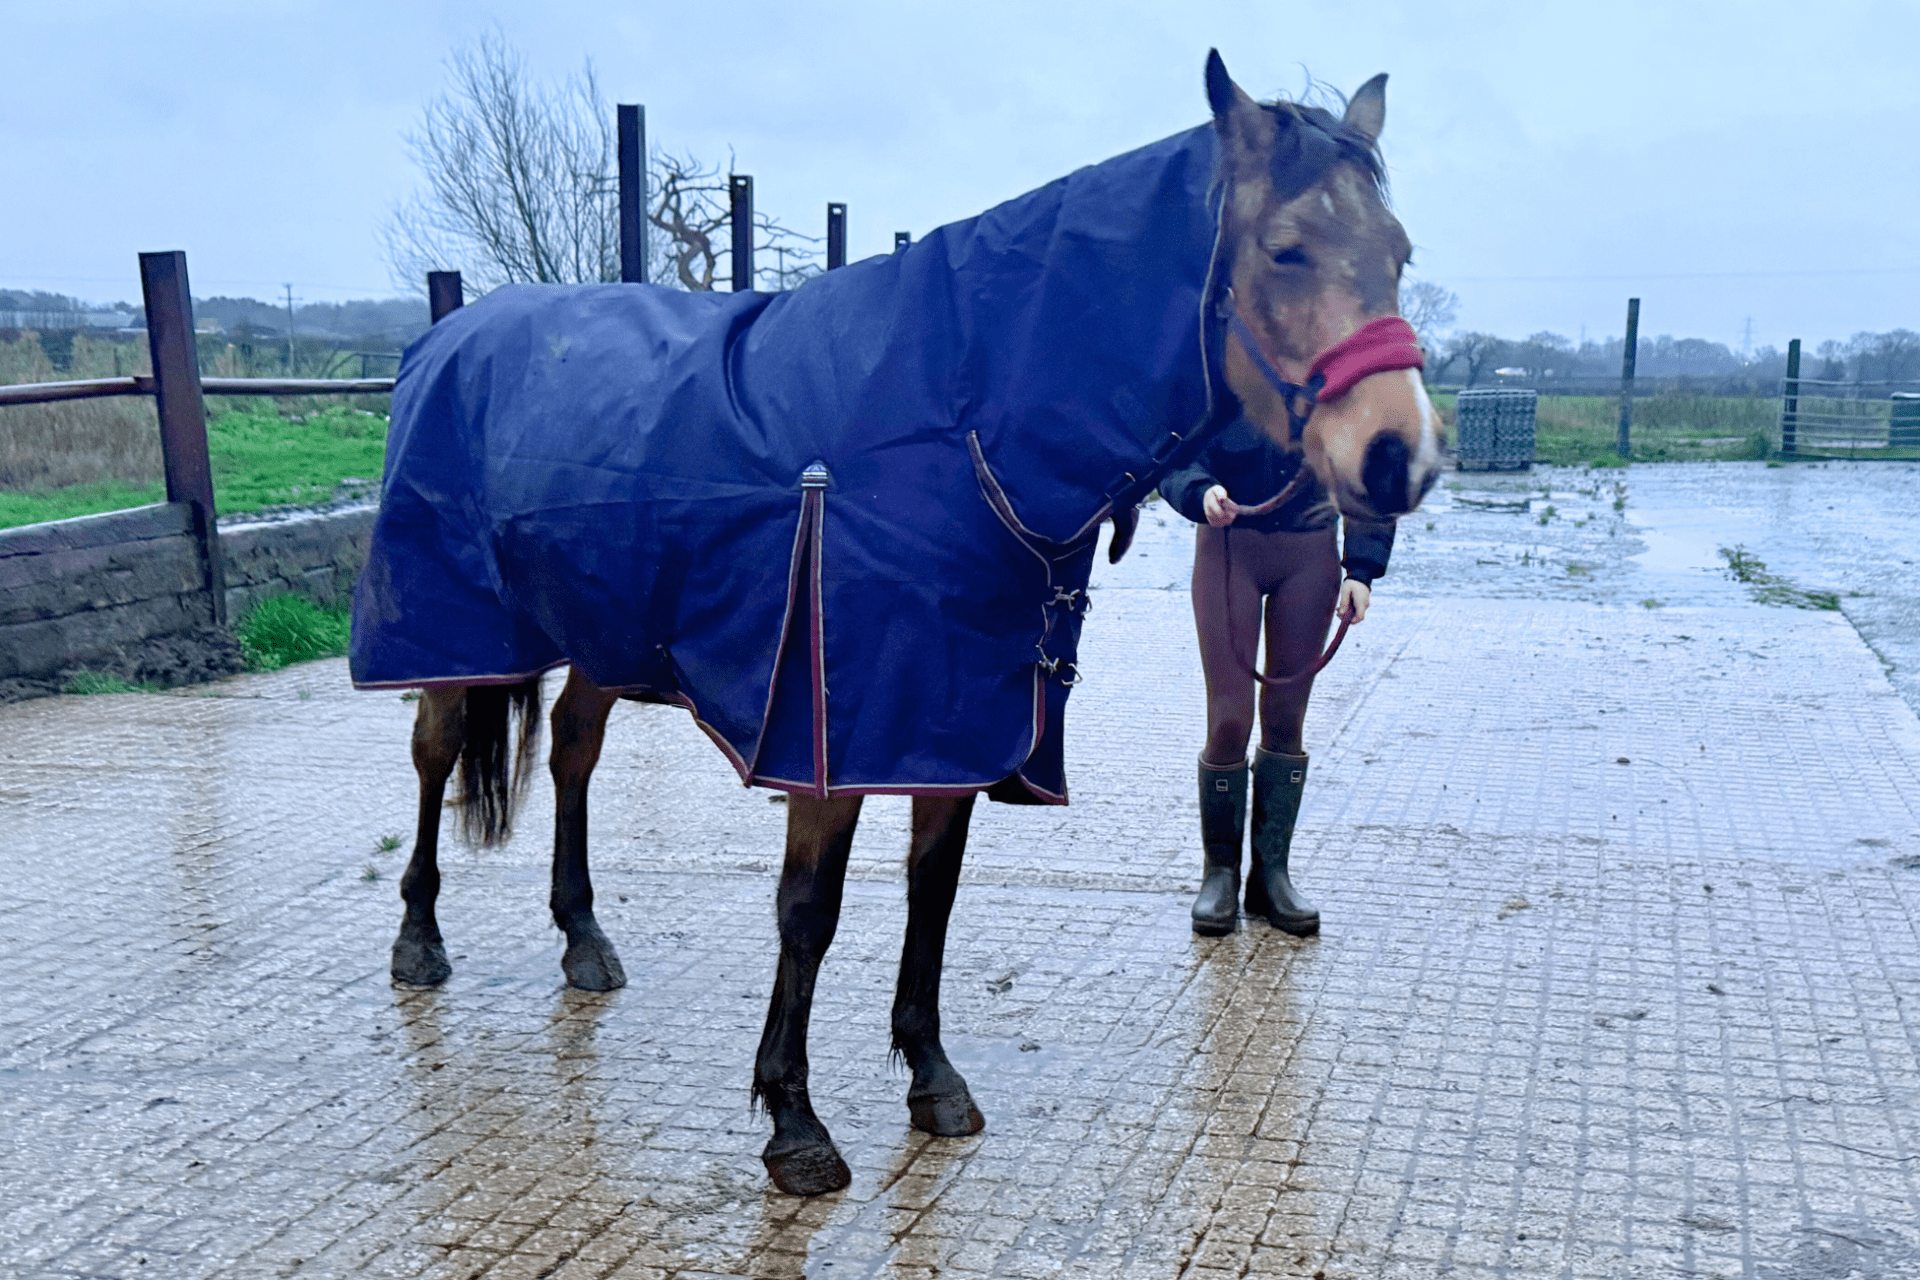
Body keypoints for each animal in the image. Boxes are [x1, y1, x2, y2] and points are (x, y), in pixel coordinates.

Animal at [350, 50, 1442, 1196]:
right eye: (1287, 248)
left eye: (1399, 253)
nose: (1399, 457)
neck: (959, 431)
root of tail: (448, 335)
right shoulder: (829, 738)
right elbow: (809, 912)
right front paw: (794, 1120)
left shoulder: (954, 724)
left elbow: (934, 895)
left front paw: (932, 1077)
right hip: (457, 636)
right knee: (433, 755)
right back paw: (418, 939)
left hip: (604, 626)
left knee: (571, 753)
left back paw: (583, 939)